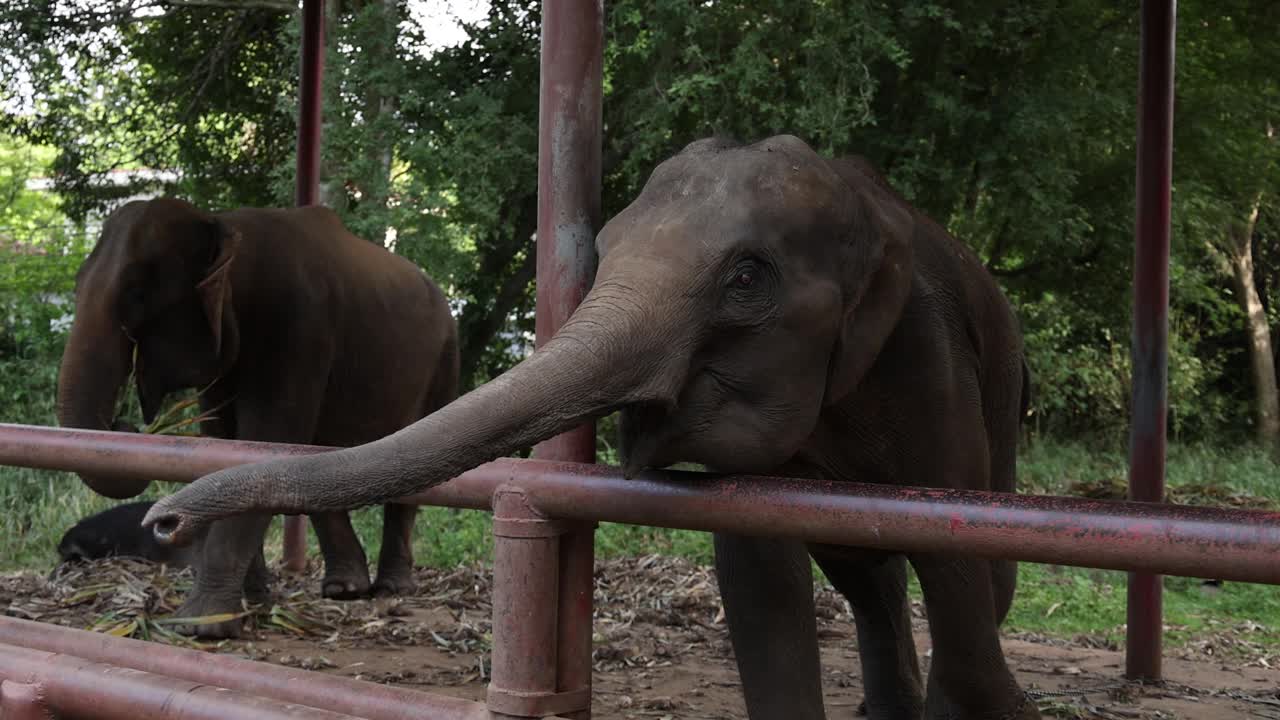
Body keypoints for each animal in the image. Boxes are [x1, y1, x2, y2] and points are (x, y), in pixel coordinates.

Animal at [147, 135, 1039, 717]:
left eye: (748, 277)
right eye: (601, 250)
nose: (163, 520)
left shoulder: (927, 356)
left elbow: (958, 557)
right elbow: (757, 575)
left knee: (975, 583)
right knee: (867, 577)